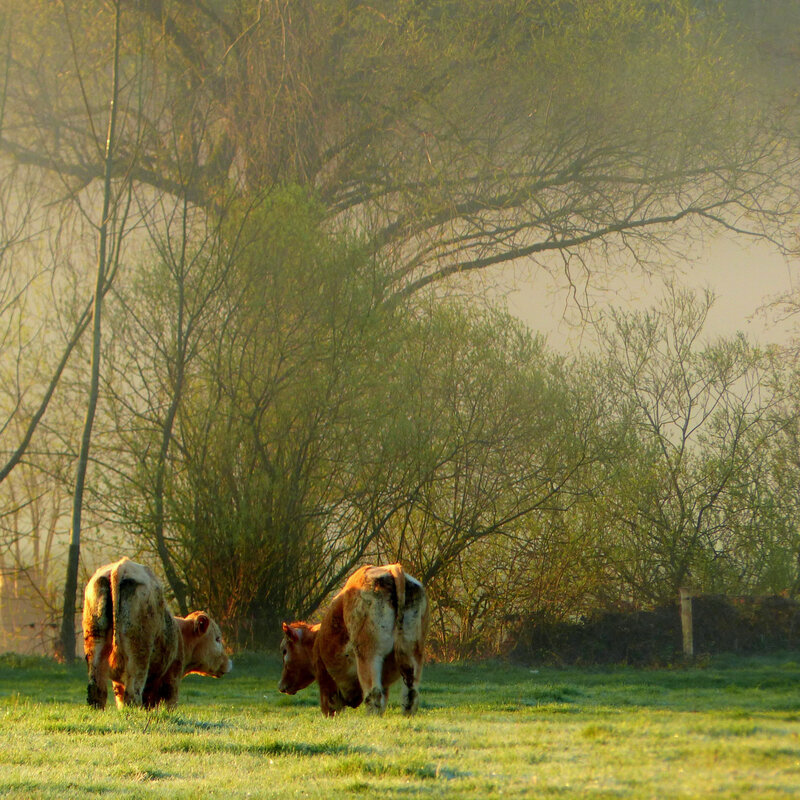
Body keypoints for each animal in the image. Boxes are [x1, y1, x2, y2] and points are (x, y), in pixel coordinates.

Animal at [82, 556, 231, 712]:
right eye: (217, 639)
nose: (228, 663)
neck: (180, 636)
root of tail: (122, 566)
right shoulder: (171, 679)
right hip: (138, 654)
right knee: (133, 692)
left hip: (95, 641)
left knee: (97, 689)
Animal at [282, 564, 432, 720]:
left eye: (284, 650)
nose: (281, 686)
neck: (316, 641)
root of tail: (392, 568)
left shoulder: (326, 680)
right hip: (412, 652)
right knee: (410, 694)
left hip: (368, 654)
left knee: (374, 693)